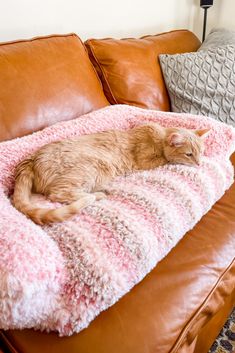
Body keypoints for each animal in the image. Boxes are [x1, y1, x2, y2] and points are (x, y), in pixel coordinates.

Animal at [12, 122, 209, 224]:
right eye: (189, 154)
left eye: (201, 152)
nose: (199, 163)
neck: (159, 137)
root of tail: (32, 159)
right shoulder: (144, 161)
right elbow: (165, 160)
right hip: (90, 168)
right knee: (58, 193)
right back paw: (98, 195)